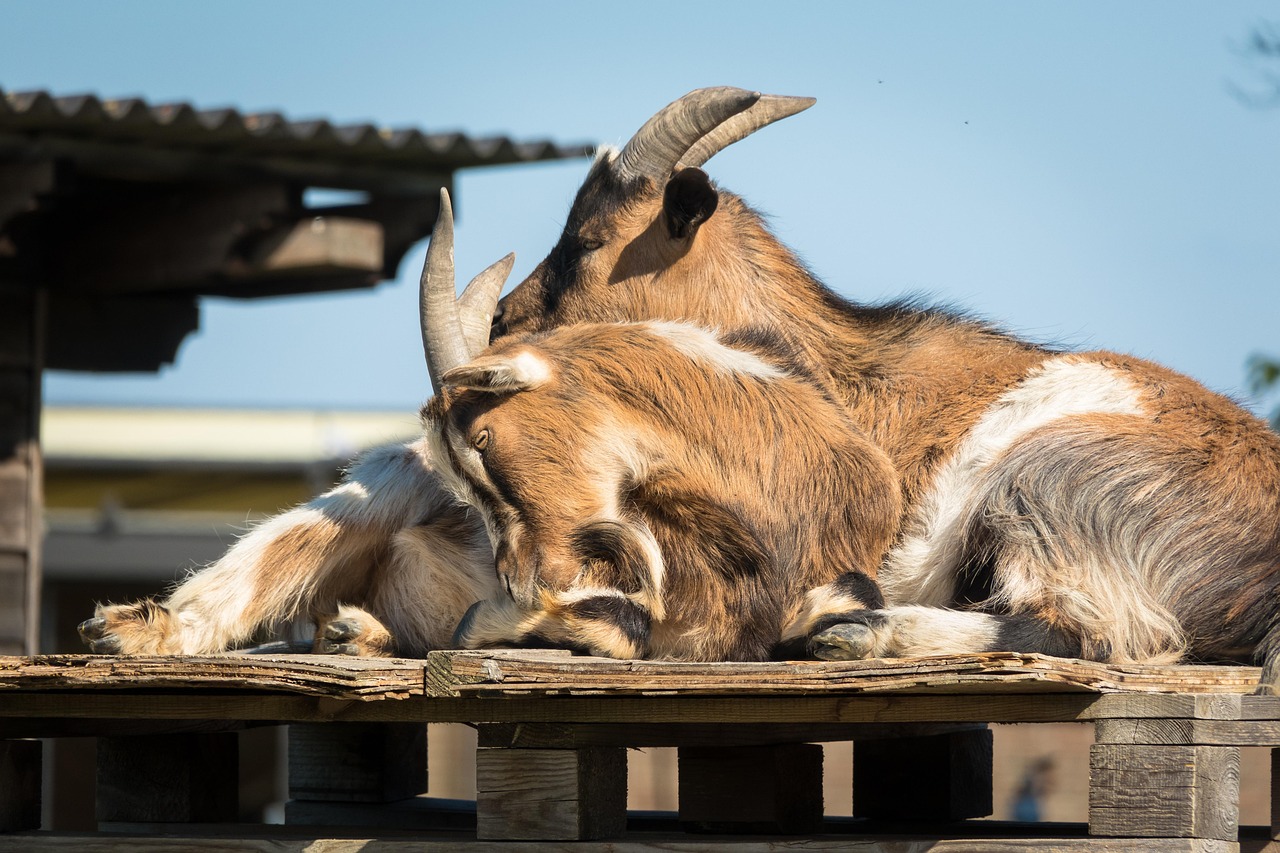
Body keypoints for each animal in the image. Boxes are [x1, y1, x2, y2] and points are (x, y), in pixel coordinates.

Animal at [80, 88, 1280, 694]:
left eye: (587, 240)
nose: (504, 328)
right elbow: (338, 517)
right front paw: (155, 627)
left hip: (1050, 476)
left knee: (1100, 632)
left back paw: (860, 632)